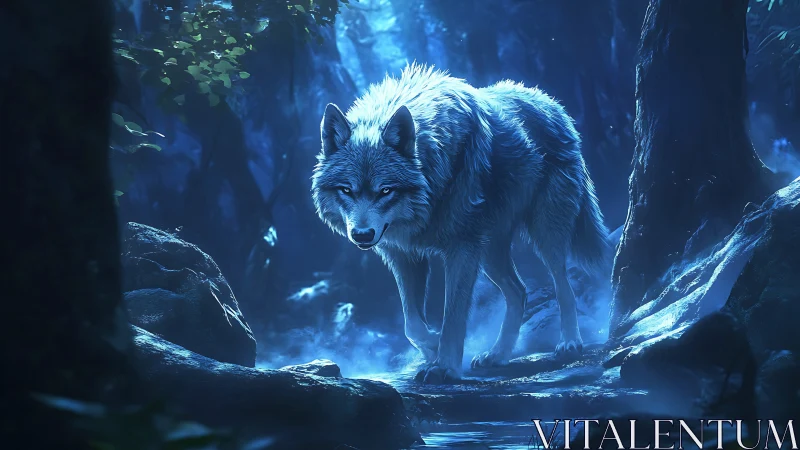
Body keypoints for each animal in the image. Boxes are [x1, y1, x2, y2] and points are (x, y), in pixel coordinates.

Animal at [311, 64, 609, 384]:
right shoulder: (404, 255)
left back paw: (569, 342)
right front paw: (432, 346)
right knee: (520, 291)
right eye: (347, 190)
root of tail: (552, 104)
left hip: (542, 234)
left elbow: (452, 315)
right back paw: (498, 355)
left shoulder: (462, 248)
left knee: (562, 283)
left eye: (385, 190)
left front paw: (444, 366)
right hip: (490, 252)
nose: (362, 235)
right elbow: (411, 324)